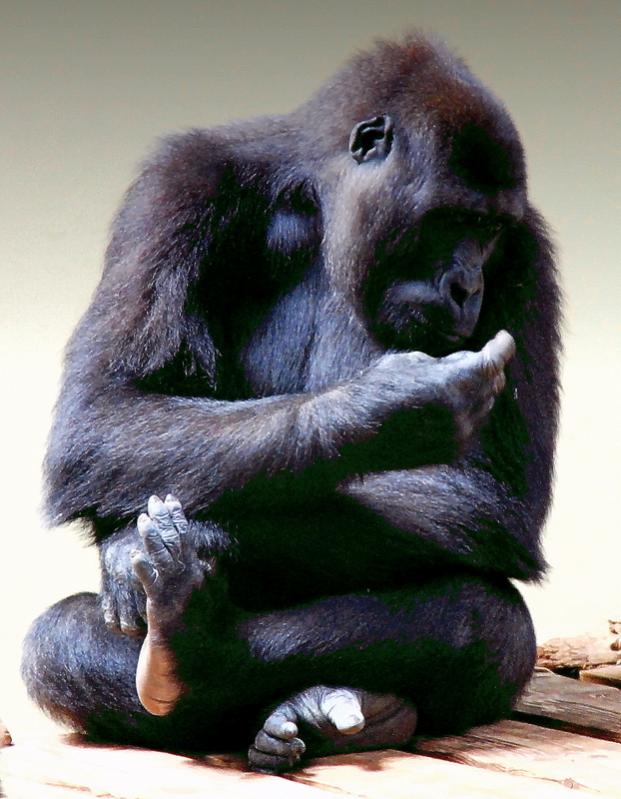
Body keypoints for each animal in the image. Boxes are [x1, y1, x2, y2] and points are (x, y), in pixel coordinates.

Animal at [22, 33, 560, 773]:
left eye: (491, 232)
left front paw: (193, 540)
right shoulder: (179, 183)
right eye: (456, 220)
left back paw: (234, 665)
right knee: (57, 639)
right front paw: (387, 408)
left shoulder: (528, 252)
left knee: (484, 622)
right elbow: (100, 414)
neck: (317, 198)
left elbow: (491, 497)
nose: (466, 287)